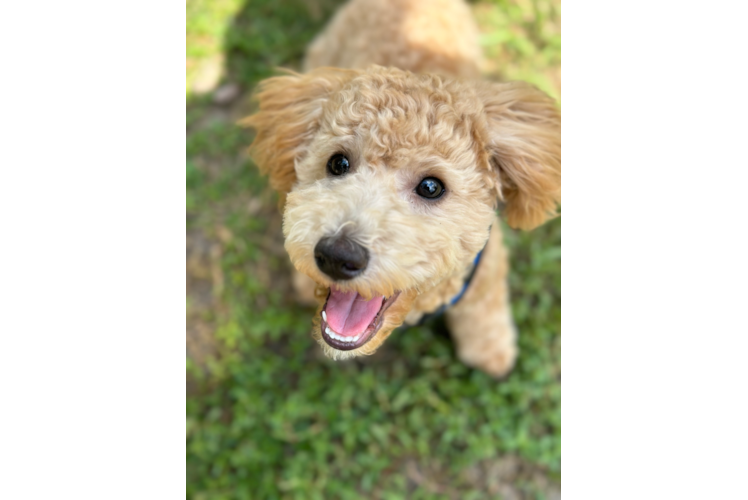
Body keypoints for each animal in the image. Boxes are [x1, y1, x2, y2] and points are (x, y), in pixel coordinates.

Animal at [243, 0, 560, 376]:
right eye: (338, 163)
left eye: (431, 186)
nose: (336, 256)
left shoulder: (485, 270)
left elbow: (483, 310)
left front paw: (490, 350)